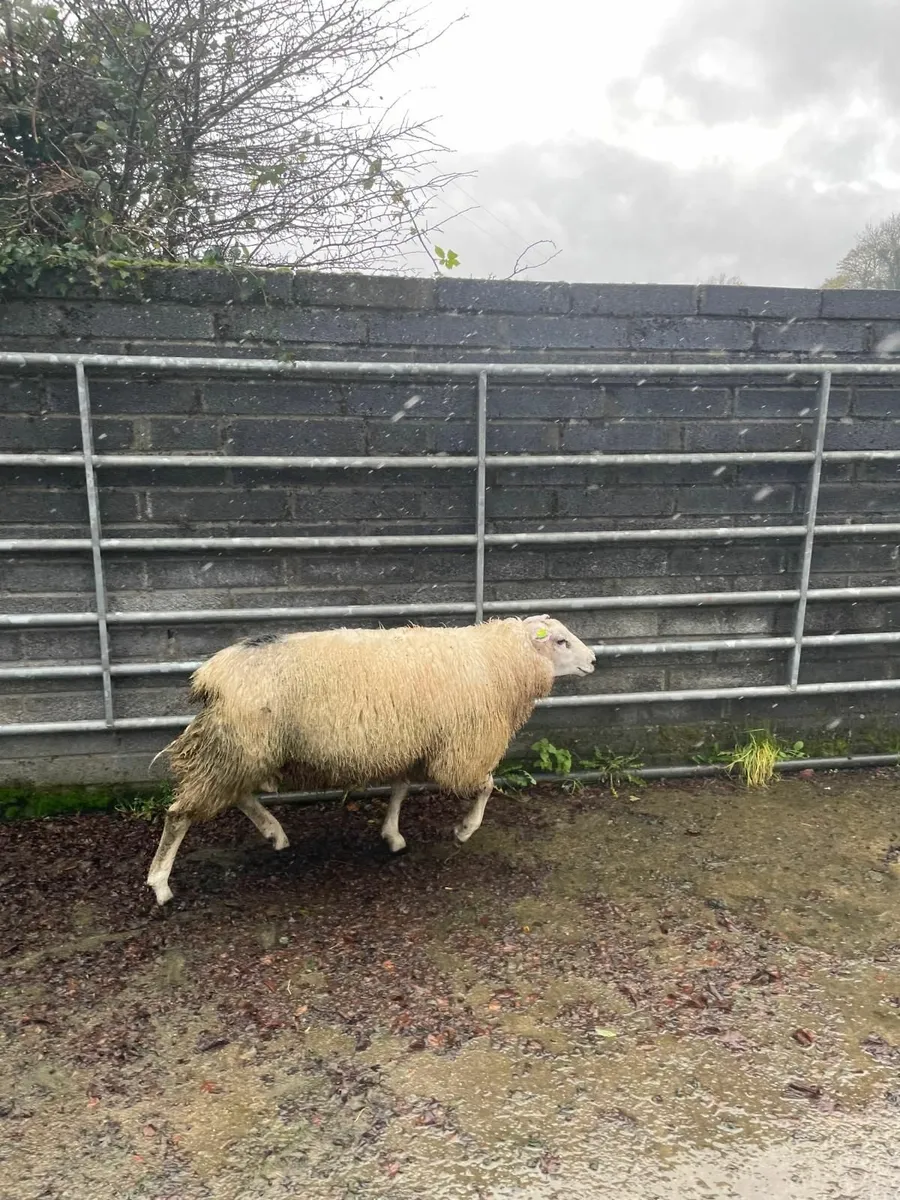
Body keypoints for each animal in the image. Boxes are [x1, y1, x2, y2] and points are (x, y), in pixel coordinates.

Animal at [146, 614, 596, 905]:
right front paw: (464, 830)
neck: (499, 660)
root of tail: (210, 676)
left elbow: (400, 789)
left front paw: (392, 835)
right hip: (237, 745)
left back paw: (274, 832)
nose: (593, 660)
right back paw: (160, 884)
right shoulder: (461, 749)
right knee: (180, 814)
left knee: (236, 795)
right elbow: (485, 786)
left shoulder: (411, 744)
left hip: (244, 748)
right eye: (560, 640)